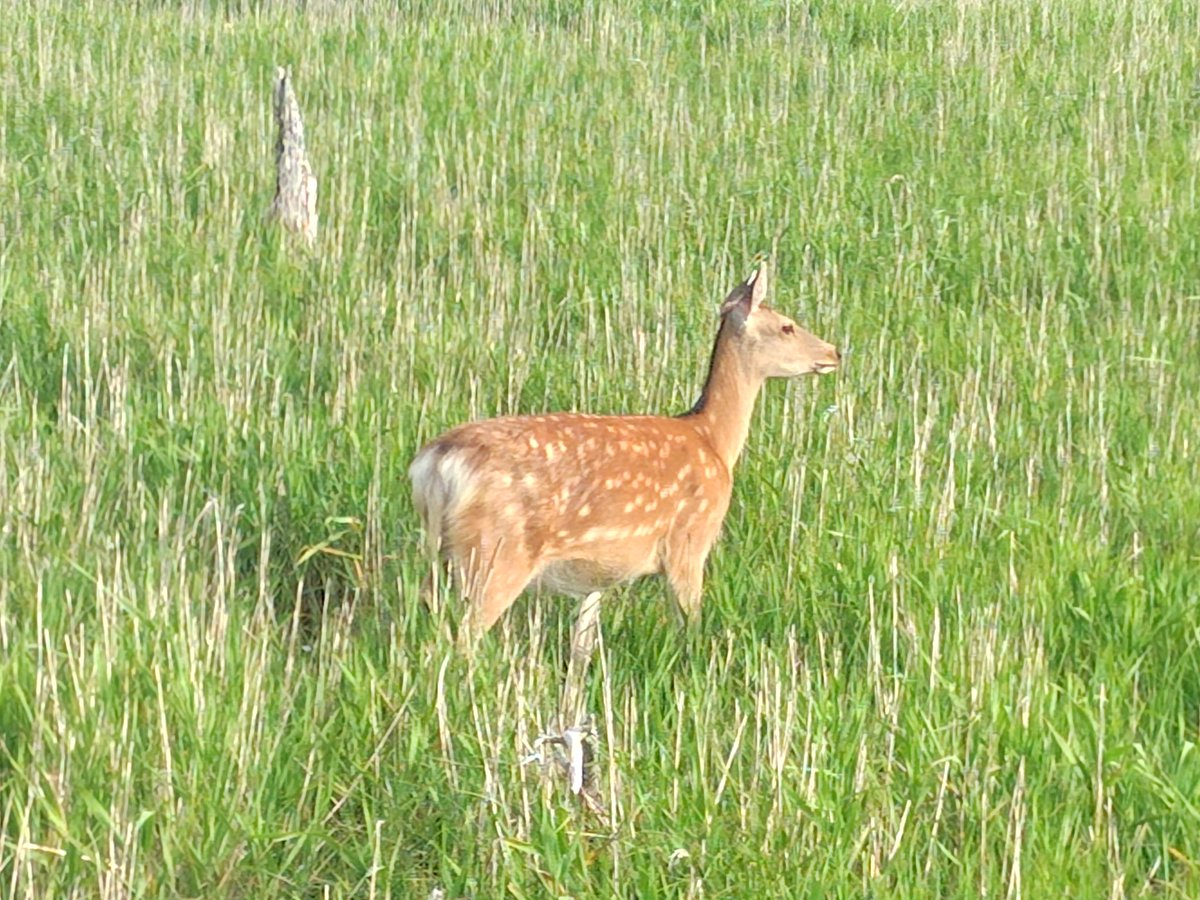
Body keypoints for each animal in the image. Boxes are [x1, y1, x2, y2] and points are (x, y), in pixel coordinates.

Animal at [409, 262, 840, 649]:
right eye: (787, 326)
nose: (834, 352)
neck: (713, 440)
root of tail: (437, 462)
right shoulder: (689, 539)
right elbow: (689, 625)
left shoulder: (595, 579)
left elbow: (583, 644)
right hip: (496, 551)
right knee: (464, 637)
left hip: (441, 550)